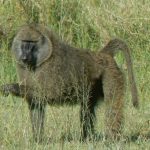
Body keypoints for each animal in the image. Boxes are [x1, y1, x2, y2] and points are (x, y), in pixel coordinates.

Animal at [0, 24, 138, 142]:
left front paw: (10, 87)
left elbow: (48, 93)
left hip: (111, 75)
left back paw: (112, 139)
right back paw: (86, 138)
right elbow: (36, 103)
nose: (24, 56)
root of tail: (104, 55)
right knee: (87, 108)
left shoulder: (53, 68)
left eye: (31, 43)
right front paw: (38, 140)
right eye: (24, 42)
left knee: (112, 107)